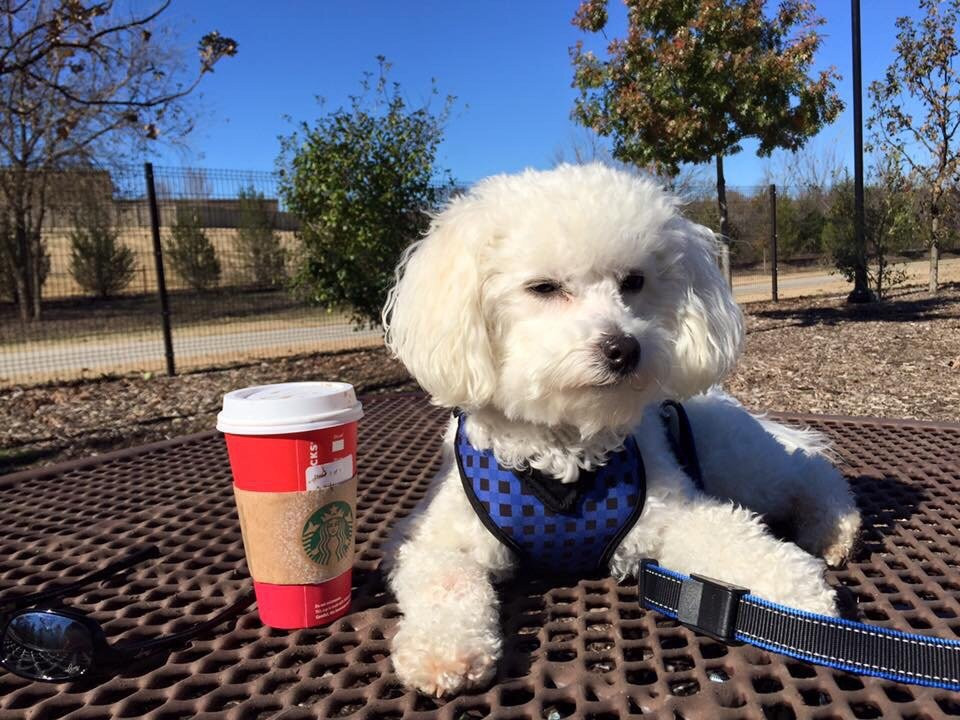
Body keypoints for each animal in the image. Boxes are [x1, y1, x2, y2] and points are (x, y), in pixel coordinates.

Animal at [382, 165, 864, 696]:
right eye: (543, 288)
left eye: (633, 282)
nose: (624, 349)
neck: (566, 449)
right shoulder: (438, 538)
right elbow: (444, 578)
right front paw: (444, 650)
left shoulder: (676, 515)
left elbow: (737, 540)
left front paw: (803, 601)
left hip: (735, 461)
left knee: (810, 470)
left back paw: (833, 529)